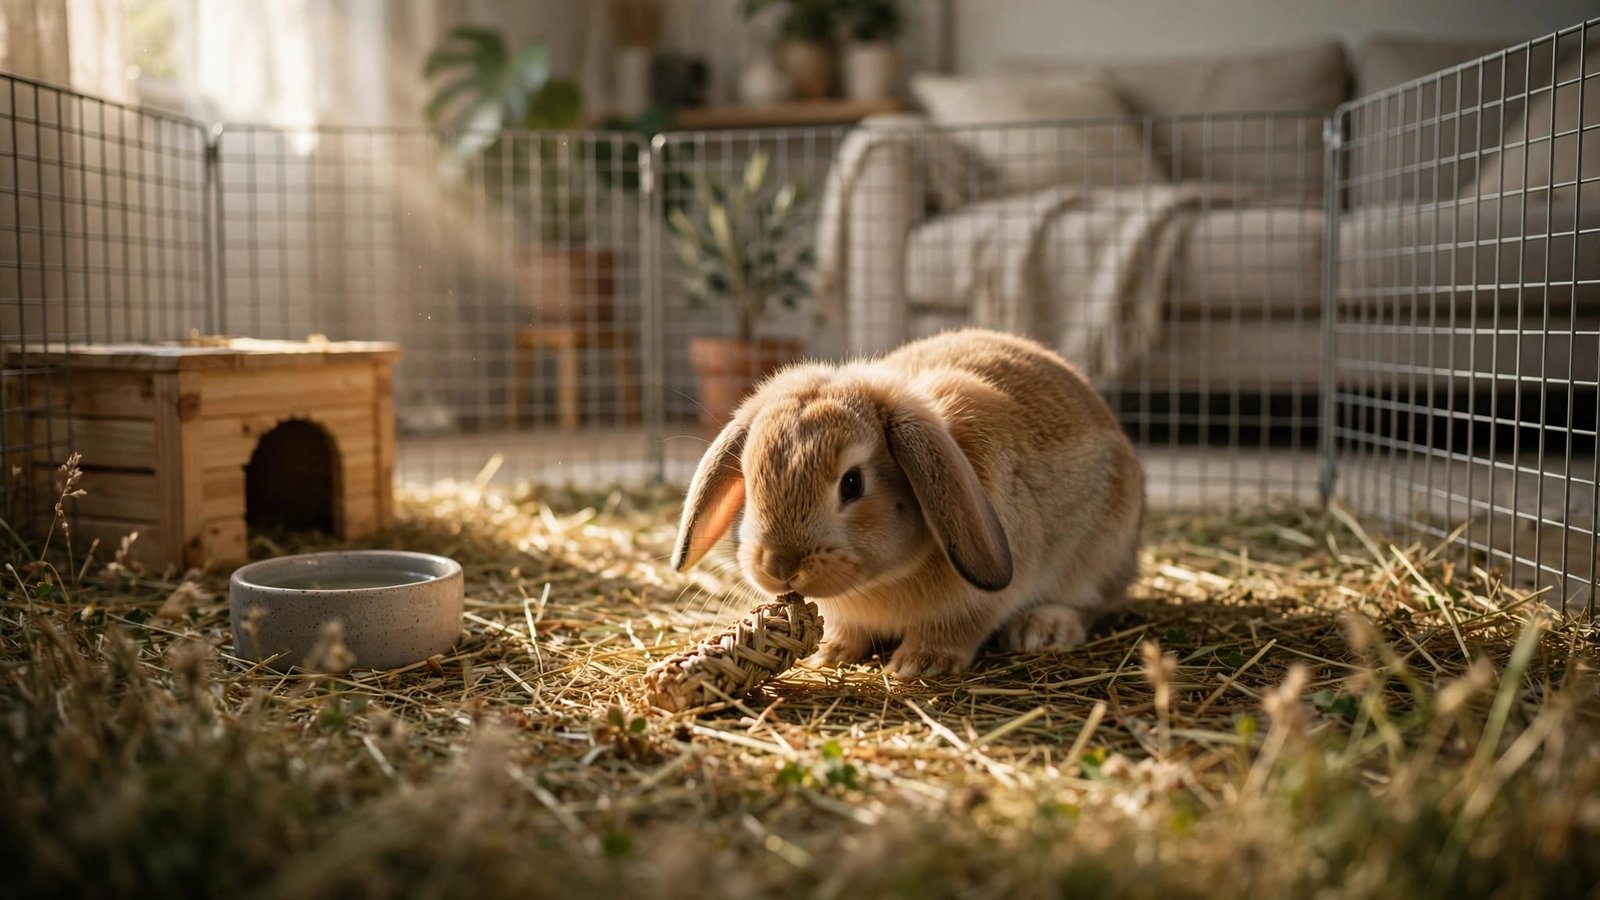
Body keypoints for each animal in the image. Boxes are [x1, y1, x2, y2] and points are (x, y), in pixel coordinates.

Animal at [671, 328, 1144, 678]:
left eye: (852, 483)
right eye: (749, 481)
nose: (779, 566)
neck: (884, 580)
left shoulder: (975, 603)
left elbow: (956, 627)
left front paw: (918, 664)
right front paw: (831, 653)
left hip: (1099, 554)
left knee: (1092, 601)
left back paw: (1043, 629)